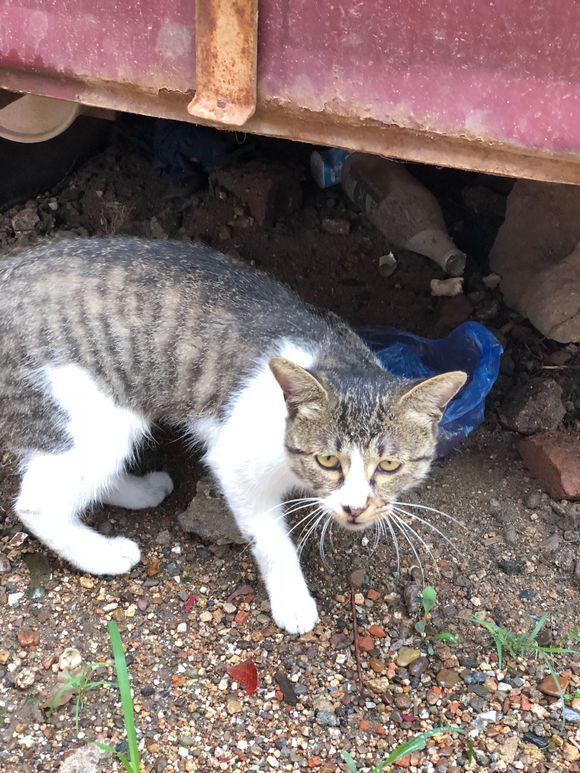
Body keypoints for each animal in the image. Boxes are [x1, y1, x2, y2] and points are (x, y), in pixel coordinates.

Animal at [0, 237, 464, 632]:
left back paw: (141, 490)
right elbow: (272, 540)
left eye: (389, 465)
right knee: (37, 502)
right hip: (89, 413)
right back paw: (103, 553)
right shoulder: (237, 461)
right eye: (328, 460)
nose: (355, 508)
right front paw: (292, 600)